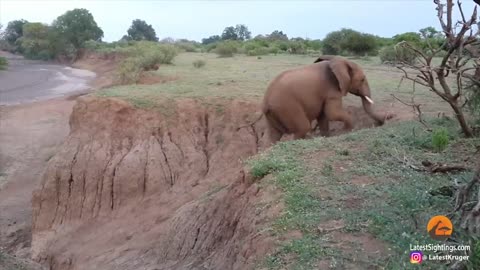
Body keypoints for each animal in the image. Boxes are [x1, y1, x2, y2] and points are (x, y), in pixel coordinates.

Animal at [262, 54, 390, 146]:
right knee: (303, 128)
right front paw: (347, 130)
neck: (338, 61)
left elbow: (323, 117)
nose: (383, 122)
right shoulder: (332, 91)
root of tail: (266, 102)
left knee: (272, 135)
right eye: (362, 79)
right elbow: (332, 113)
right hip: (288, 107)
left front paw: (326, 137)